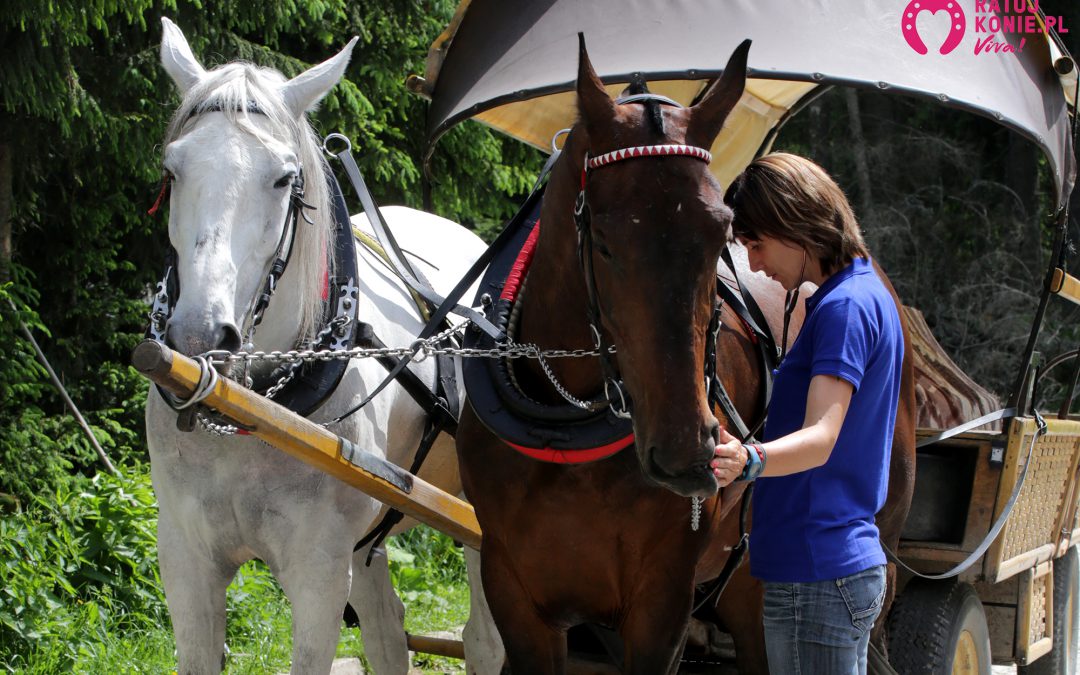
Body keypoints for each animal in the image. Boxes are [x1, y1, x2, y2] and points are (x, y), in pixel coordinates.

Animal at [145, 18, 503, 669]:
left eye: (285, 177)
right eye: (173, 169)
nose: (199, 336)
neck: (252, 409)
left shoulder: (318, 573)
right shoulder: (185, 560)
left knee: (485, 641)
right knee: (387, 633)